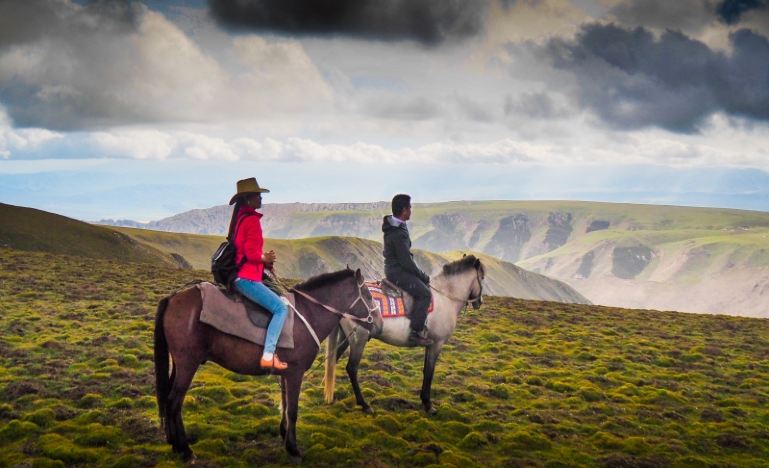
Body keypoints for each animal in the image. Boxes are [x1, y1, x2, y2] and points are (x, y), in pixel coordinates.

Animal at [152, 268, 378, 458]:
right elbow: (293, 410)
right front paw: (293, 448)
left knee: (171, 400)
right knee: (174, 402)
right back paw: (184, 449)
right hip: (188, 364)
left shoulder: (287, 373)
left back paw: (175, 442)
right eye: (368, 295)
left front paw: (284, 435)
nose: (375, 322)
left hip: (179, 364)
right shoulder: (295, 373)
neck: (308, 313)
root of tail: (172, 298)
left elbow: (285, 405)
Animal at [326, 256, 484, 414]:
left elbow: (425, 370)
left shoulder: (430, 344)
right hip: (359, 338)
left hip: (345, 337)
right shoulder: (437, 343)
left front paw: (424, 400)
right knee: (352, 368)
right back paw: (364, 405)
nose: (479, 302)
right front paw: (428, 404)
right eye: (482, 277)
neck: (445, 297)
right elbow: (430, 371)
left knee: (333, 361)